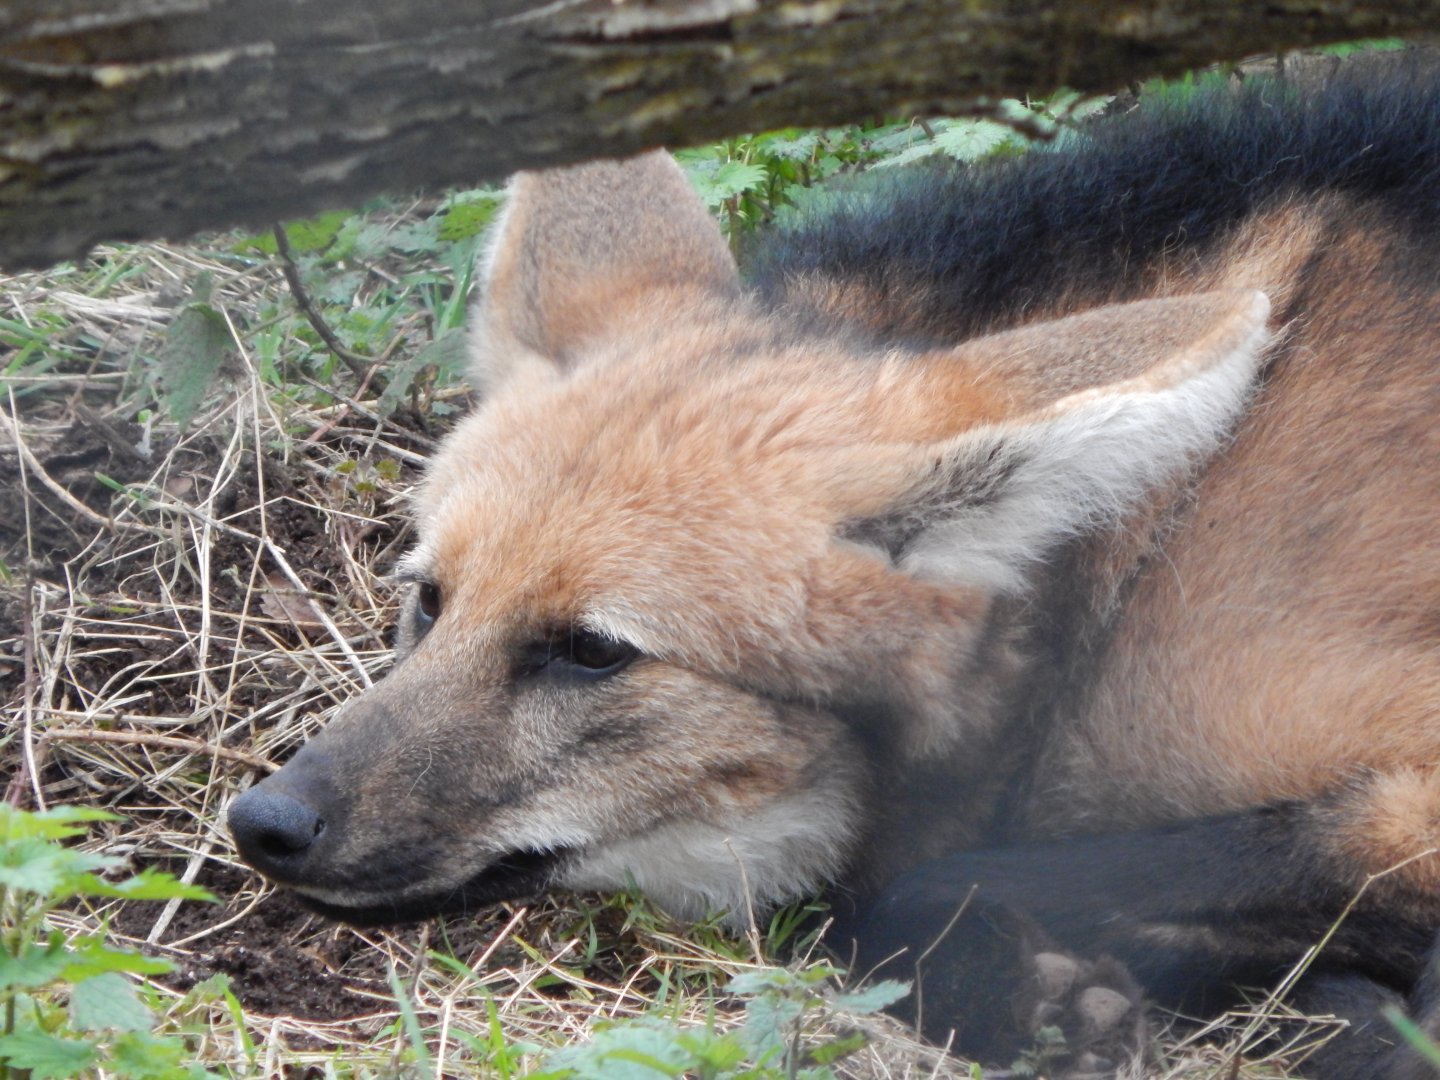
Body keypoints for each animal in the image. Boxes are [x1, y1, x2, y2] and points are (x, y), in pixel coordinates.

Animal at [229, 57, 1440, 1077]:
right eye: (430, 603)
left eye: (593, 652)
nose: (268, 823)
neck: (1124, 571)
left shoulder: (1402, 784)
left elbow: (906, 889)